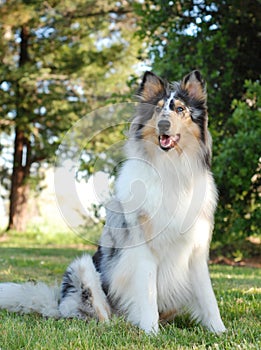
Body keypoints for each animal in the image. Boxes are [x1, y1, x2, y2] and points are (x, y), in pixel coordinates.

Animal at [0, 69, 225, 334]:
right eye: (158, 109)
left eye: (180, 109)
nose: (164, 124)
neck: (171, 168)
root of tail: (56, 304)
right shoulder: (143, 248)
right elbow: (147, 292)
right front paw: (151, 332)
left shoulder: (196, 249)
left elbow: (208, 296)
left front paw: (220, 331)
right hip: (83, 267)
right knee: (101, 316)